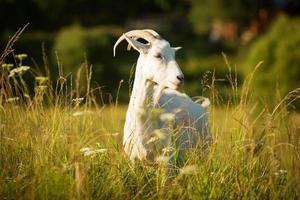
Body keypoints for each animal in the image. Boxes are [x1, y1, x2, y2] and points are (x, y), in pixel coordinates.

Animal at [113, 28, 211, 162]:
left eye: (173, 55)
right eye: (157, 55)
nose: (180, 78)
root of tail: (202, 106)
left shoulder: (167, 159)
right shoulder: (133, 159)